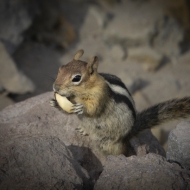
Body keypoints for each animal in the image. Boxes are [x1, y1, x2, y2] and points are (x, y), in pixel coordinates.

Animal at [50, 49, 190, 155]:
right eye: (60, 69)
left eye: (76, 78)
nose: (55, 87)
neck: (78, 95)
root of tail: (128, 135)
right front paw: (55, 103)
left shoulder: (100, 95)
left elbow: (95, 108)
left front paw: (82, 108)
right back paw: (84, 130)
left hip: (110, 143)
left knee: (121, 151)